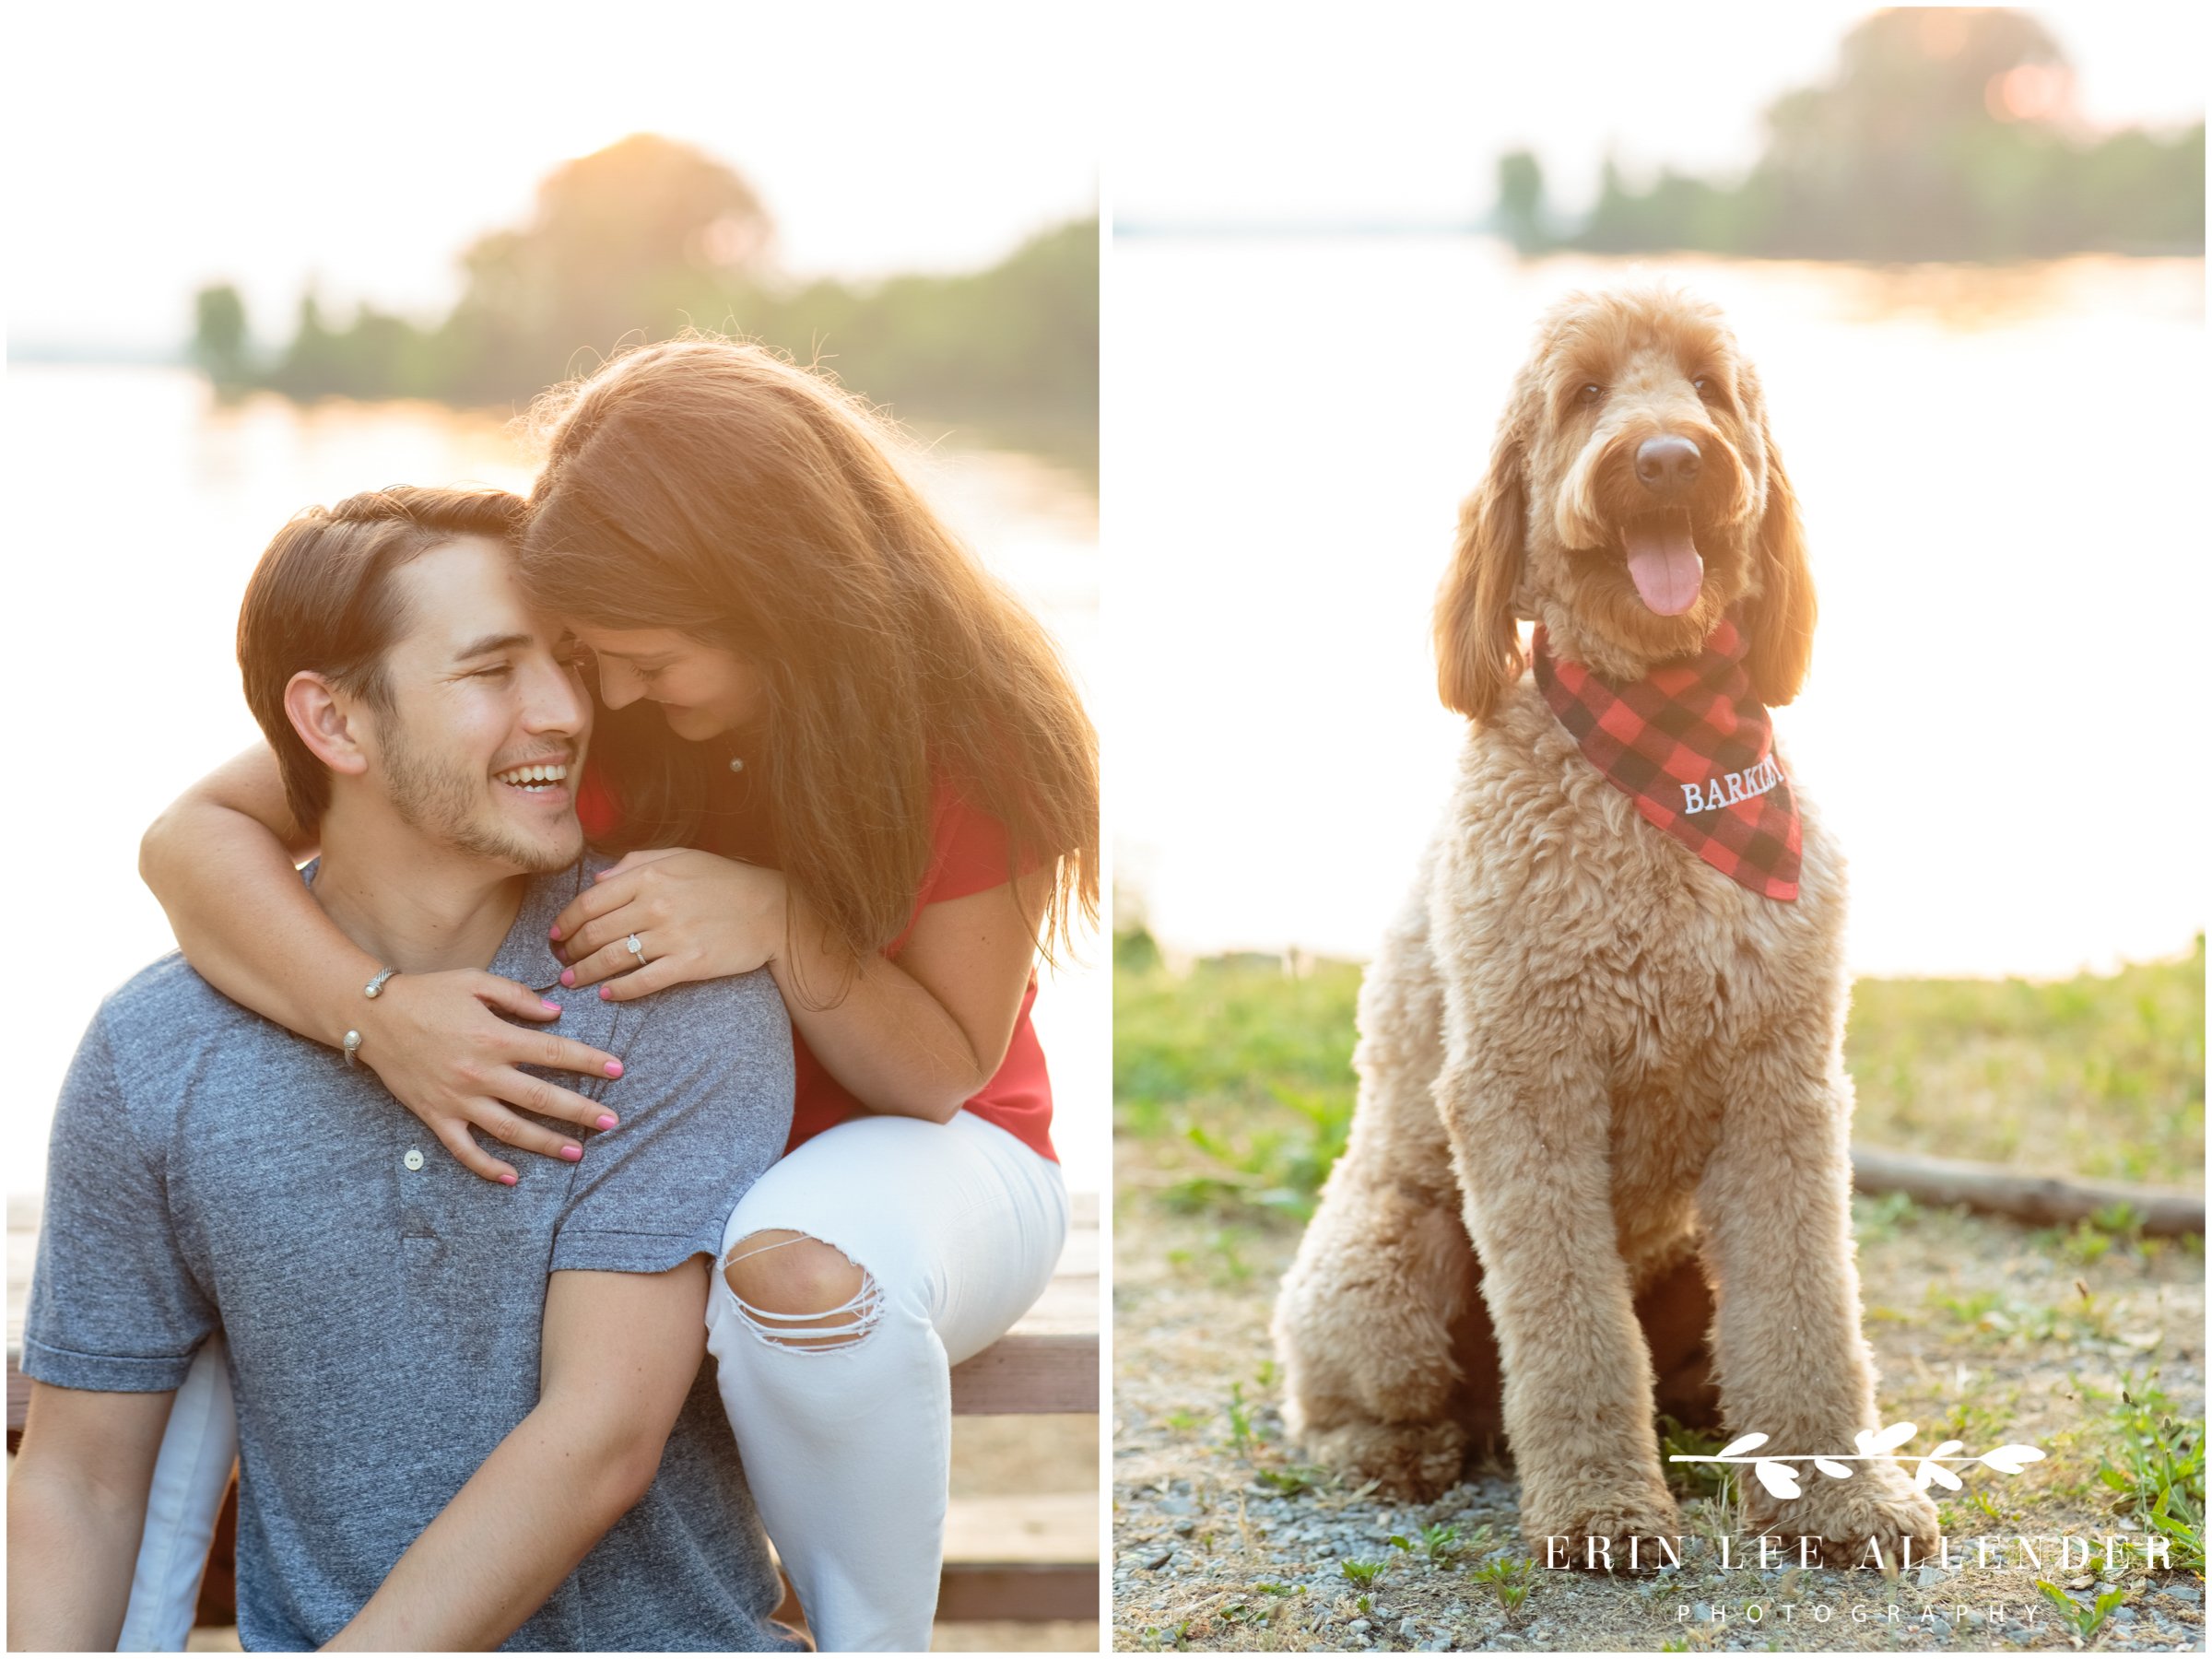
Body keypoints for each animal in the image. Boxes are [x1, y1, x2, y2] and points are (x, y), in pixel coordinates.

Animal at [1274, 285, 1947, 1574]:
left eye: (1709, 388)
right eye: (1583, 393)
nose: (1670, 458)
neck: (1662, 749)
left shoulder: (1783, 1085)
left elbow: (1809, 1312)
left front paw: (1840, 1499)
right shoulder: (1524, 1090)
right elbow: (1570, 1334)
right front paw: (1601, 1513)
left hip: (1688, 1262)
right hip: (1387, 1259)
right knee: (1349, 1397)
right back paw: (1399, 1451)